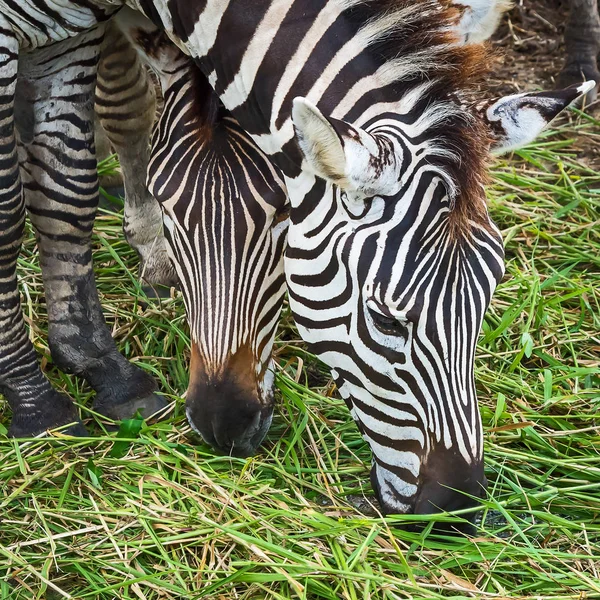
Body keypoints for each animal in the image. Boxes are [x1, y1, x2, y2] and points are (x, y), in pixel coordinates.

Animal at [0, 0, 592, 520]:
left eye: (285, 213)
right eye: (384, 320)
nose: (457, 508)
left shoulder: (73, 39)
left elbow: (66, 186)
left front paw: (98, 363)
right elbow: (13, 214)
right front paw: (37, 404)